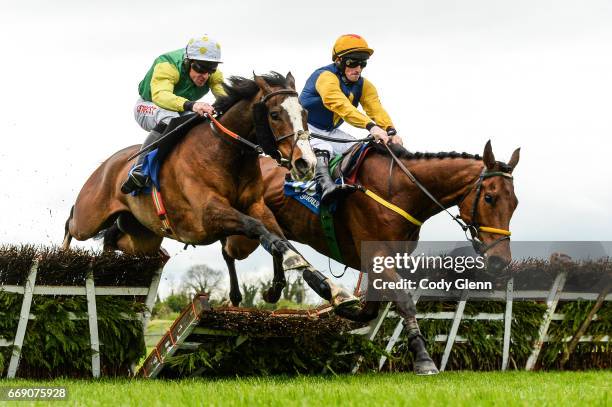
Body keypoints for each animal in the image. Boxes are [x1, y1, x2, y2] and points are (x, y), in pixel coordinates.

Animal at [61, 72, 358, 310]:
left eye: (305, 115)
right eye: (275, 115)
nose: (305, 162)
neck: (228, 152)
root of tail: (107, 164)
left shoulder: (256, 205)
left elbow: (279, 236)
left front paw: (329, 289)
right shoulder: (209, 214)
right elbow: (262, 232)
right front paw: (293, 268)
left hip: (142, 236)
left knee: (113, 239)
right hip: (90, 217)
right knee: (71, 223)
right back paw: (63, 257)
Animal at [222, 140, 520, 376]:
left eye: (515, 204)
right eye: (490, 198)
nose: (500, 261)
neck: (400, 190)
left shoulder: (382, 262)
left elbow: (370, 309)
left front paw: (344, 307)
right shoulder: (378, 255)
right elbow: (403, 302)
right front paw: (423, 359)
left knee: (273, 244)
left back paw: (276, 288)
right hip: (244, 239)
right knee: (230, 248)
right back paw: (238, 294)